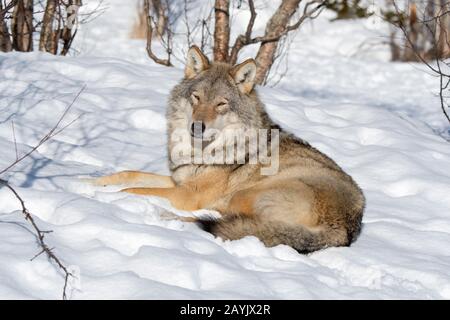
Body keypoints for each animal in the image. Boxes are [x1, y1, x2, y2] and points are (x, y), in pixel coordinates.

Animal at [92, 46, 366, 254]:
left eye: (221, 104)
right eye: (197, 97)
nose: (197, 126)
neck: (202, 151)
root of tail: (346, 228)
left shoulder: (187, 195)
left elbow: (131, 189)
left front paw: (108, 198)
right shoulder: (179, 181)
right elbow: (128, 174)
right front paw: (91, 183)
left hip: (244, 194)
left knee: (223, 221)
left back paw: (167, 217)